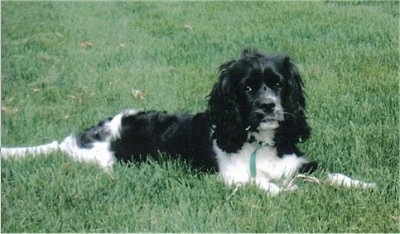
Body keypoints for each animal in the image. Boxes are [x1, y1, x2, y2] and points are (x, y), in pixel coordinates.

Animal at [0, 48, 376, 195]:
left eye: (279, 84)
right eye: (248, 87)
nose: (268, 107)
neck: (261, 143)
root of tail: (78, 138)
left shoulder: (297, 164)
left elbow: (333, 175)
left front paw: (364, 185)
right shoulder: (234, 176)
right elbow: (267, 185)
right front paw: (290, 191)